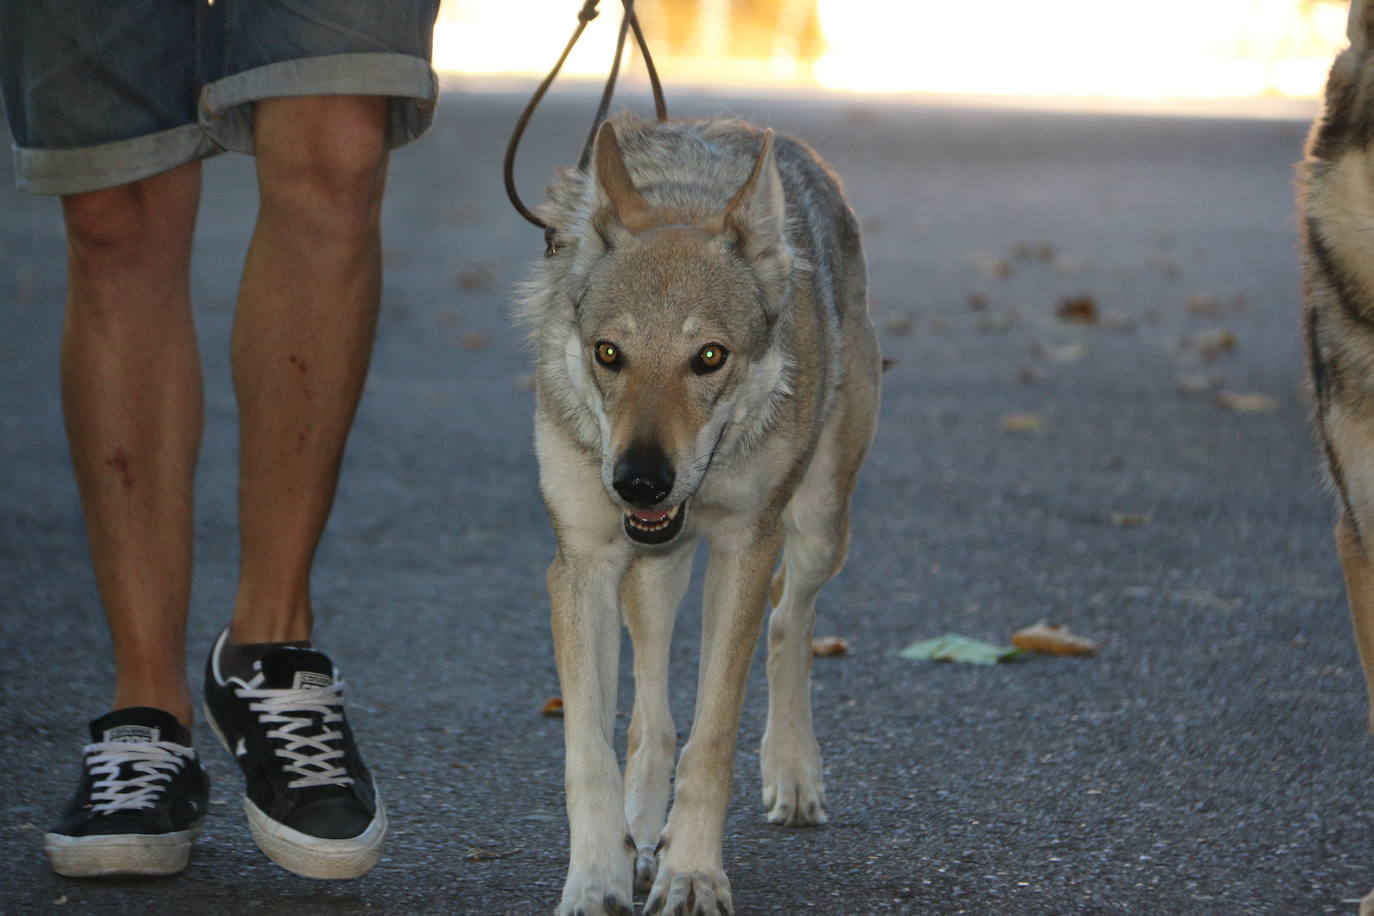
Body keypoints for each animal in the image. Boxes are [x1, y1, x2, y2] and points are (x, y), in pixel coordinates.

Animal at [516, 114, 879, 916]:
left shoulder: (747, 546)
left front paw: (691, 876)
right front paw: (598, 878)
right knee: (650, 716)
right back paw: (642, 832)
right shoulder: (582, 562)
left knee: (790, 621)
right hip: (652, 574)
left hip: (820, 527)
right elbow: (591, 750)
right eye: (608, 353)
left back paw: (792, 773)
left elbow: (711, 742)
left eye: (709, 356)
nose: (640, 483)